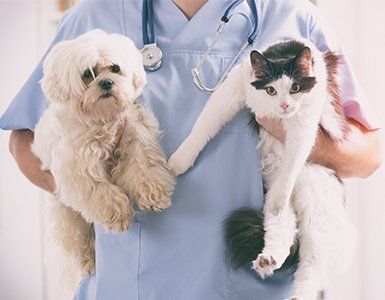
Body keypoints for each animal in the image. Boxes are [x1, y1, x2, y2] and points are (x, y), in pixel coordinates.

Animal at [32, 30, 175, 276]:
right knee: (78, 240)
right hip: (67, 216)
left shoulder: (135, 136)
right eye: (88, 74)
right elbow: (101, 192)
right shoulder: (78, 168)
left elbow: (143, 168)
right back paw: (88, 262)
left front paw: (154, 194)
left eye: (115, 68)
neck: (102, 119)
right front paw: (119, 215)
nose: (106, 82)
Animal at [168, 40, 356, 300]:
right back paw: (267, 260)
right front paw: (180, 160)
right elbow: (204, 125)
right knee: (282, 231)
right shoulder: (234, 88)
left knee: (312, 267)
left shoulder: (304, 122)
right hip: (283, 210)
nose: (284, 105)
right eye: (271, 90)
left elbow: (294, 159)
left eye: (295, 88)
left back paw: (297, 293)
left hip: (318, 215)